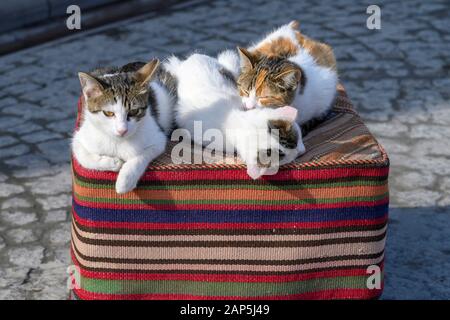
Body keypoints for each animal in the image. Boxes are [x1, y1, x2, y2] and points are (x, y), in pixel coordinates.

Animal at [73, 59, 175, 194]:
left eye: (134, 111)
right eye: (108, 113)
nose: (122, 130)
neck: (118, 141)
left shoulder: (158, 137)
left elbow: (142, 154)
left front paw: (125, 180)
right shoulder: (80, 137)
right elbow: (83, 156)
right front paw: (113, 162)